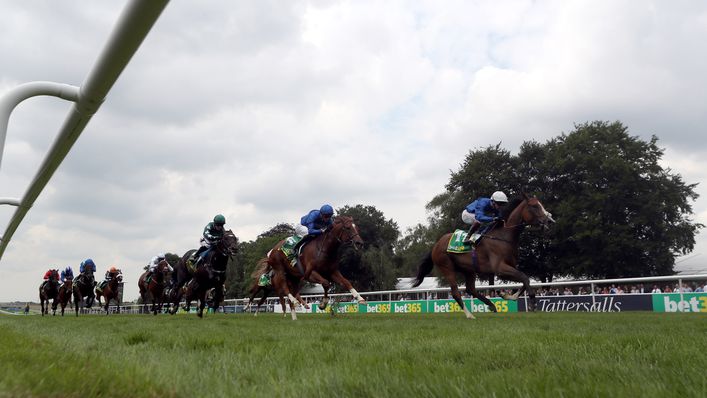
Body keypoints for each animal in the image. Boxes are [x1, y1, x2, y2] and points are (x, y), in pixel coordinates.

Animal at [412, 191, 556, 318]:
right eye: (534, 206)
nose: (550, 221)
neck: (503, 236)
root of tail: (436, 245)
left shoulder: (511, 266)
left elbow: (524, 280)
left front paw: (508, 295)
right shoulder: (500, 269)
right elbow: (524, 278)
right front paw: (532, 302)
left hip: (469, 270)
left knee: (470, 289)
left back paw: (491, 305)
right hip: (447, 267)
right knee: (455, 292)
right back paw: (470, 315)